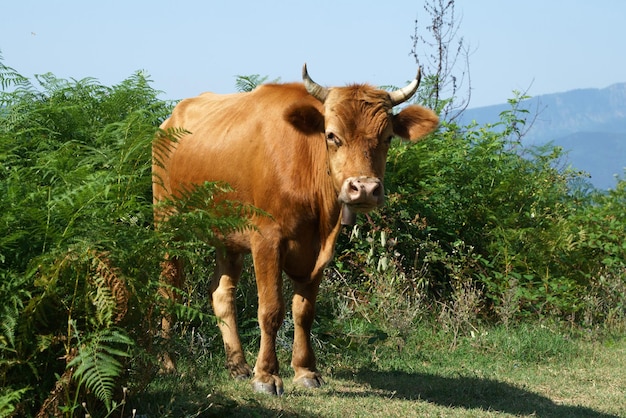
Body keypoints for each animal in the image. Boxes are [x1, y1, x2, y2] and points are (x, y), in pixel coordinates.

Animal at [152, 63, 436, 394]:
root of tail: (170, 120)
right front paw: (266, 375)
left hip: (227, 236)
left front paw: (305, 371)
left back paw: (237, 366)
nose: (364, 189)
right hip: (168, 223)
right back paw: (168, 363)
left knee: (222, 294)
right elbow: (271, 310)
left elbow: (304, 312)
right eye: (331, 135)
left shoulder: (319, 249)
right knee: (168, 291)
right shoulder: (267, 241)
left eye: (388, 137)